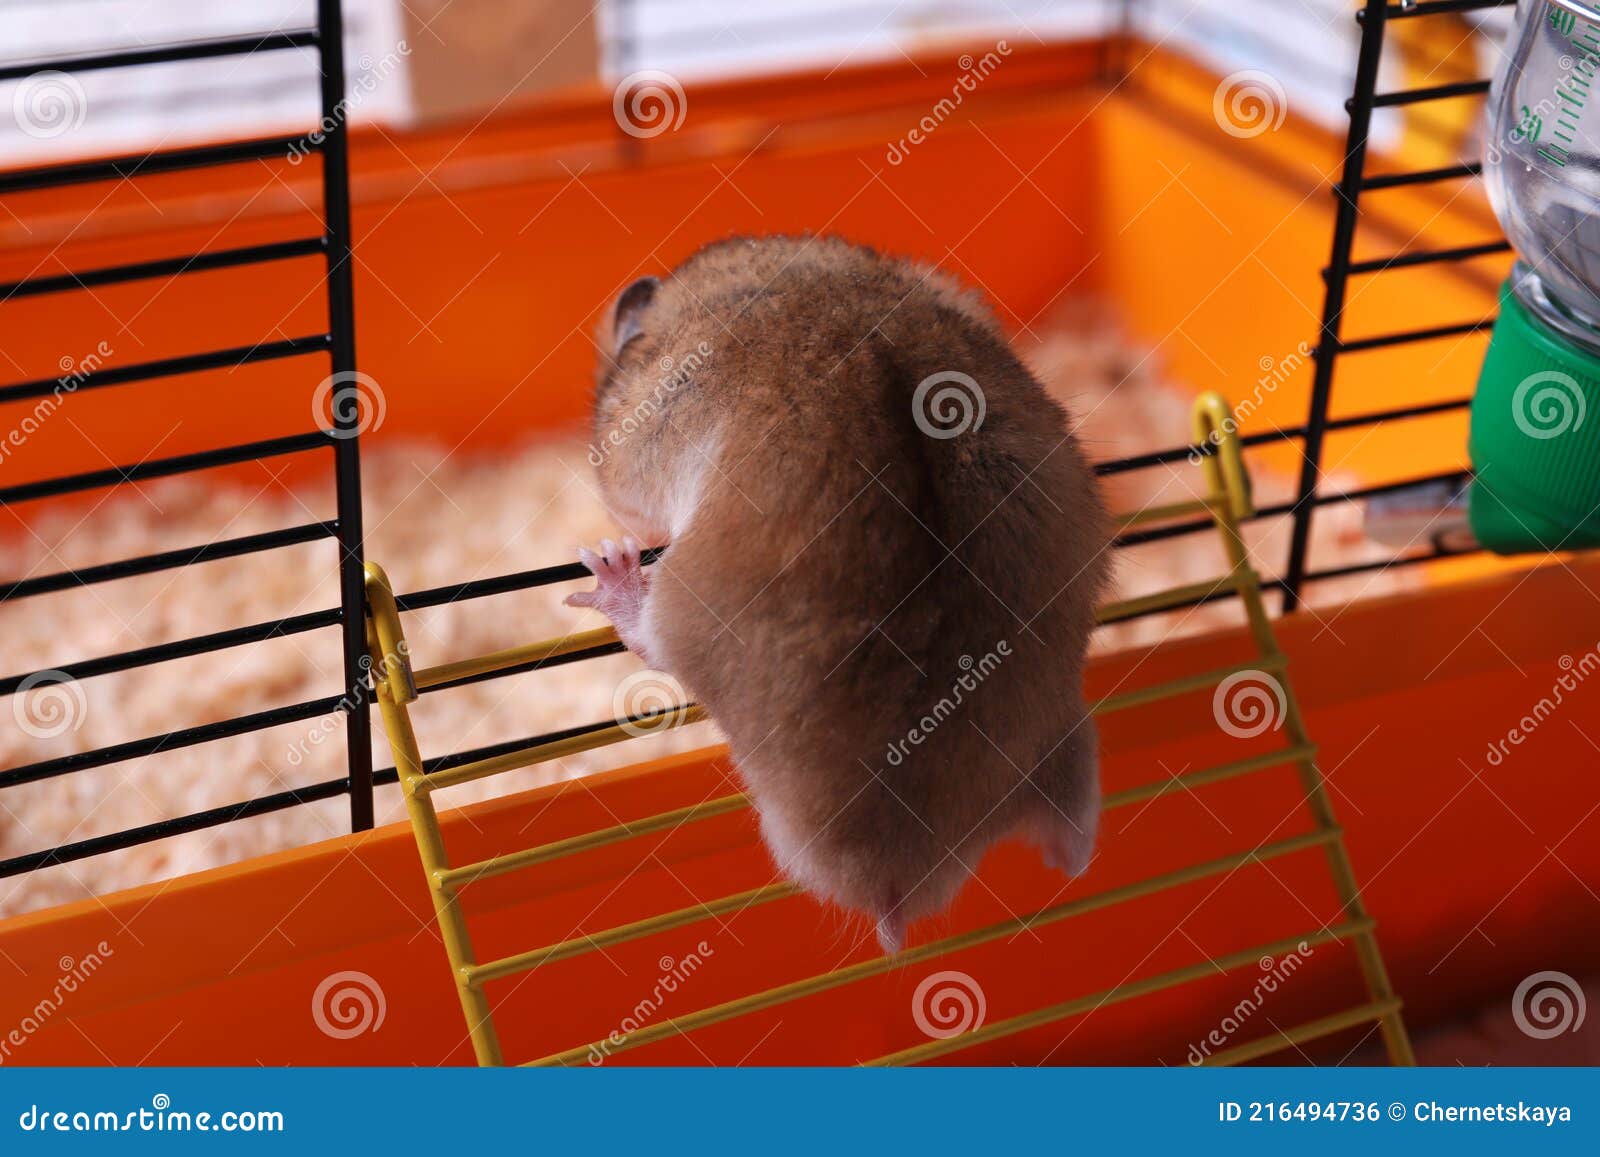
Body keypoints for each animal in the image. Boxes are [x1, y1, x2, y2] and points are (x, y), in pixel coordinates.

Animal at [567, 236, 1112, 954]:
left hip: (681, 614)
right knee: (1074, 840)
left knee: (649, 638)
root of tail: (929, 857)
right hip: (1069, 746)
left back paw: (608, 572)